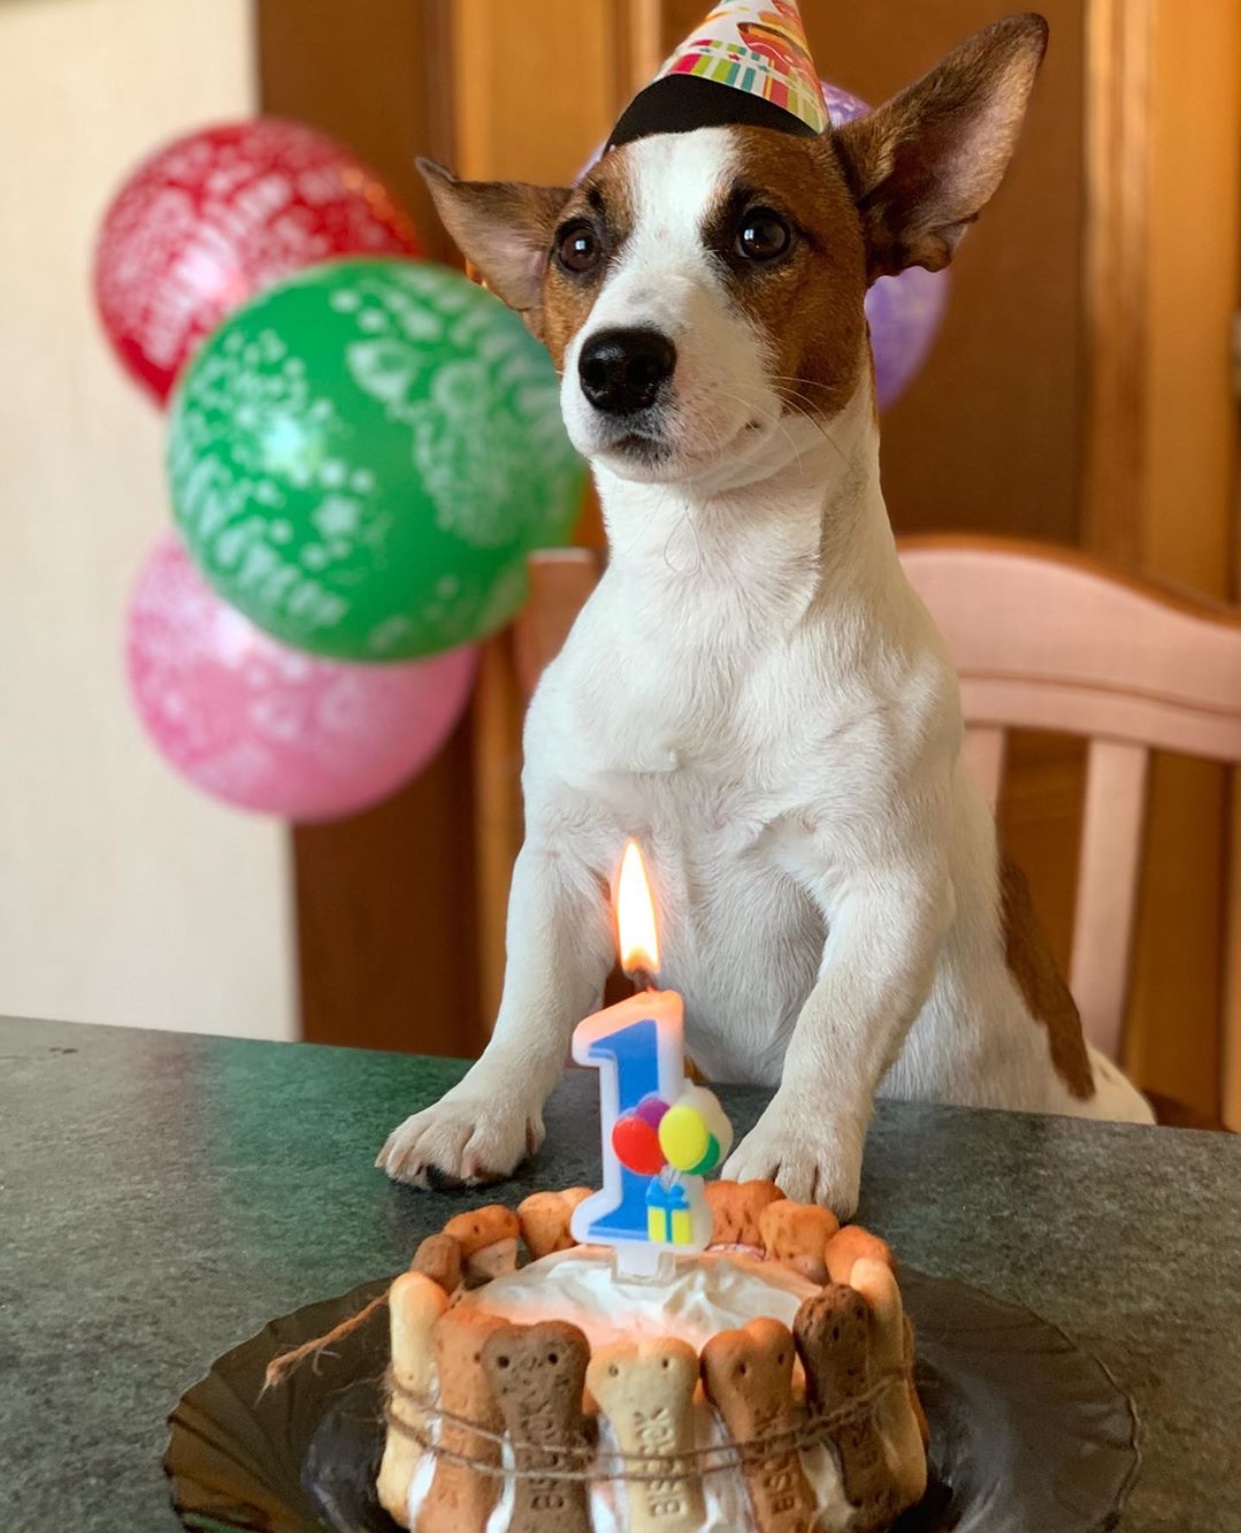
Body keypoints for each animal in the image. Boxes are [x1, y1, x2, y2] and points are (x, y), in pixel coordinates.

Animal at [376, 5, 1152, 1214]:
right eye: (577, 247)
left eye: (758, 234)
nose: (614, 362)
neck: (715, 588)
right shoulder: (563, 861)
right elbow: (528, 1004)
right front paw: (478, 1107)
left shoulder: (884, 887)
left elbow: (835, 1024)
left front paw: (793, 1149)